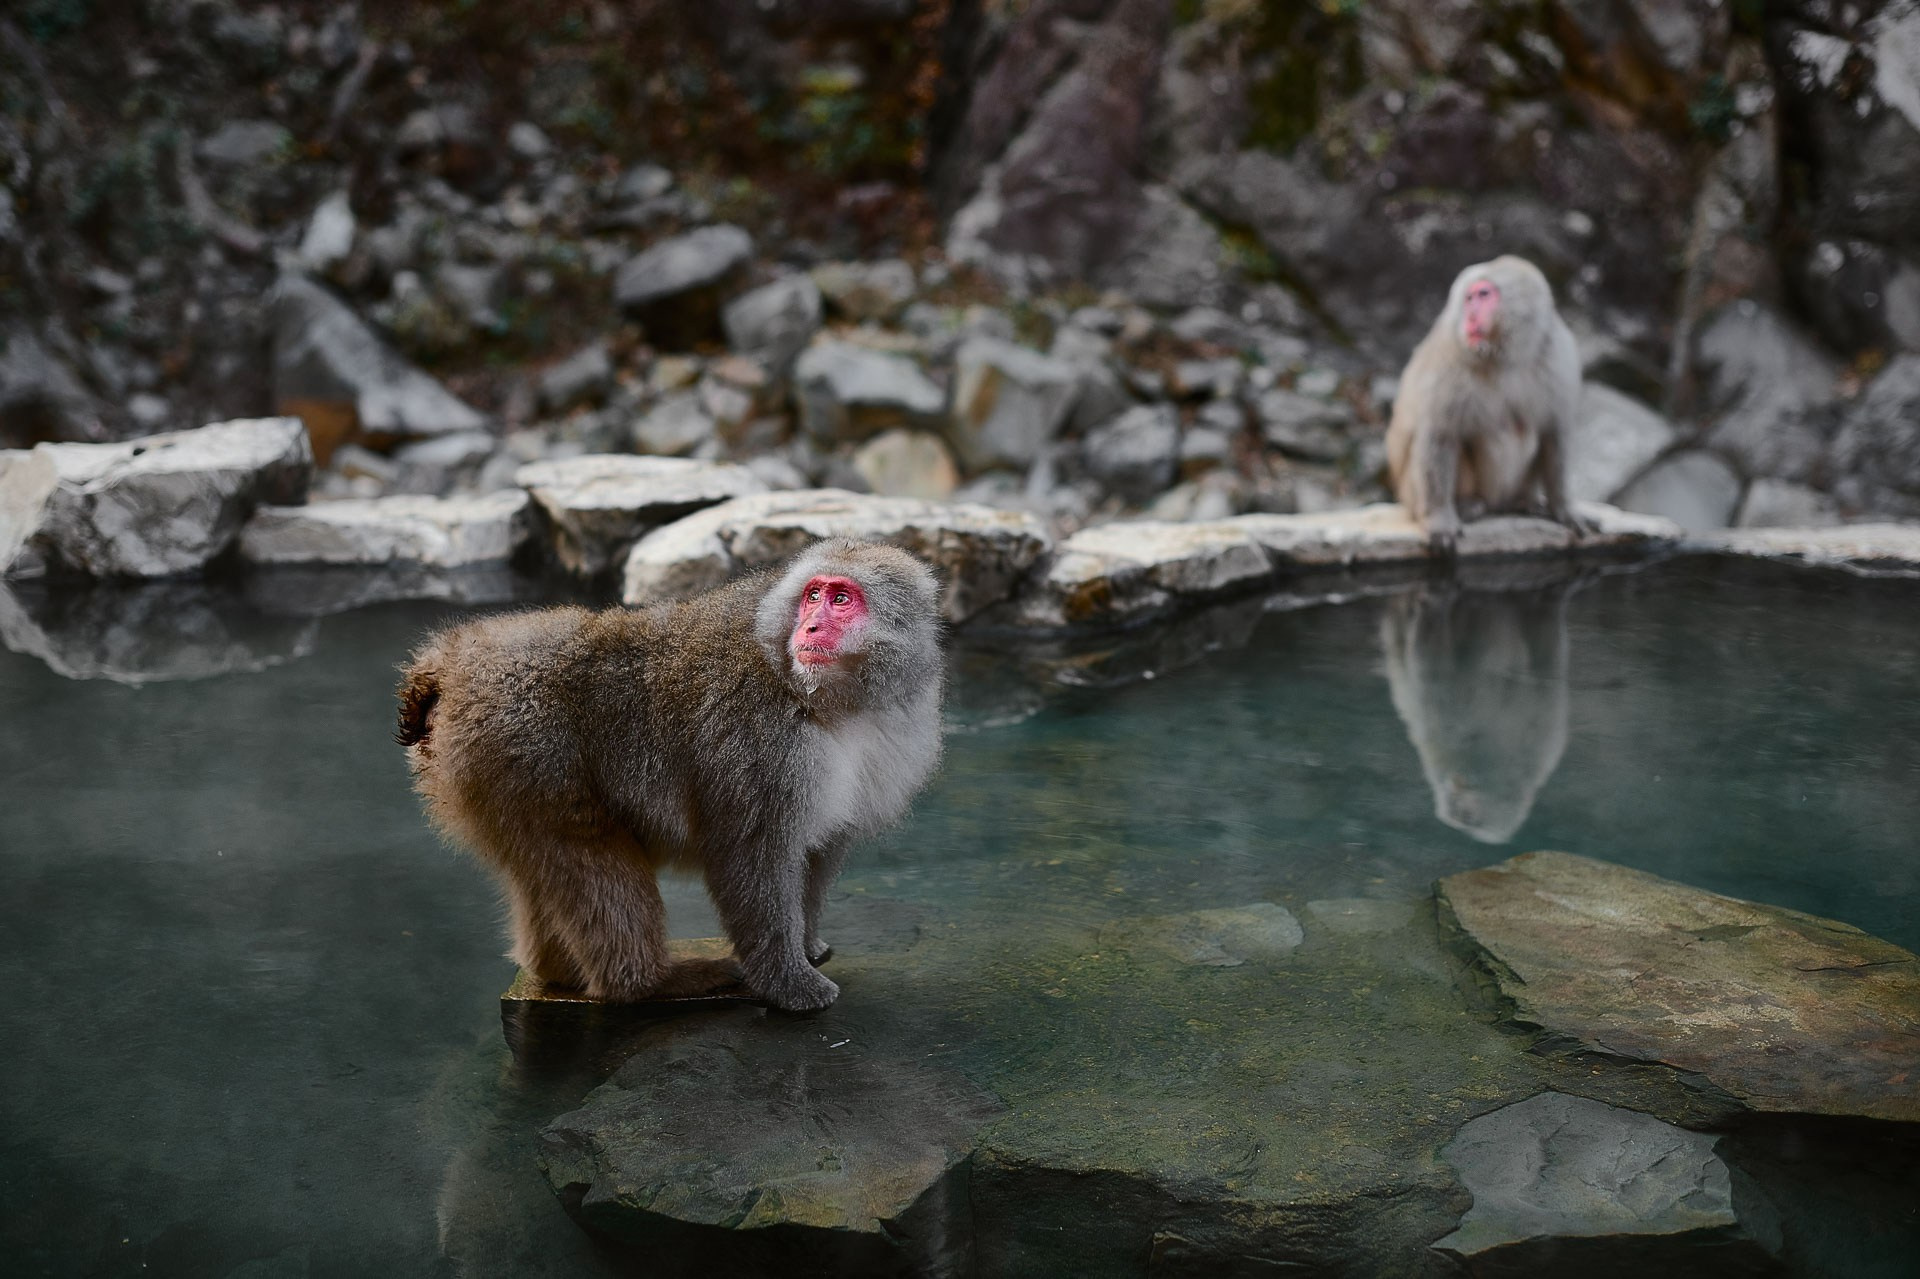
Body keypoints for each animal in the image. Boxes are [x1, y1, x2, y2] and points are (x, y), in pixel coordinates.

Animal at [396, 539, 944, 1012]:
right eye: (813, 595)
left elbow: (822, 850)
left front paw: (806, 945)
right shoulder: (760, 739)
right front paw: (788, 982)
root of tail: (457, 657)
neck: (832, 701)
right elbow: (753, 854)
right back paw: (647, 982)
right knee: (584, 849)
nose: (807, 629)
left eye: (840, 599)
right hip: (521, 748)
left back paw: (558, 971)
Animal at [1386, 255, 1591, 556]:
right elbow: (1440, 435)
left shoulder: (1559, 355)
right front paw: (1439, 520)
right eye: (1469, 298)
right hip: (1411, 495)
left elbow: (1555, 431)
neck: (1504, 355)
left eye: (1484, 295)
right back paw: (1469, 504)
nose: (1470, 316)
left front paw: (1564, 508)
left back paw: (1523, 502)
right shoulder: (1449, 360)